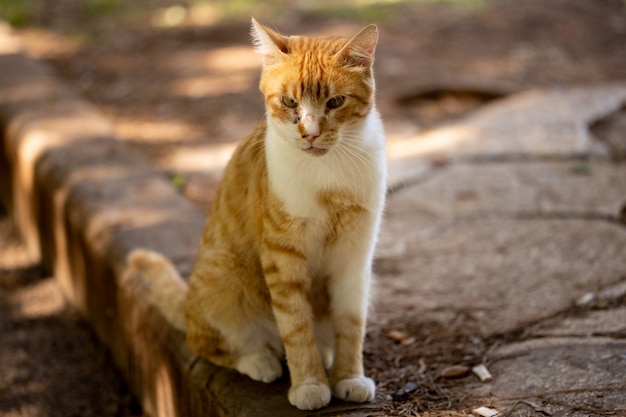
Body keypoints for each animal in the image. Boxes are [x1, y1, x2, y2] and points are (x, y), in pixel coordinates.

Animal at [128, 17, 386, 410]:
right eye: (289, 102)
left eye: (335, 102)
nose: (310, 134)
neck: (330, 174)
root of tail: (188, 304)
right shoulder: (283, 257)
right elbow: (296, 328)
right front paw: (310, 384)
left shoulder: (355, 257)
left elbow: (351, 325)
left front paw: (349, 377)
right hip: (223, 277)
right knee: (208, 344)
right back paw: (260, 360)